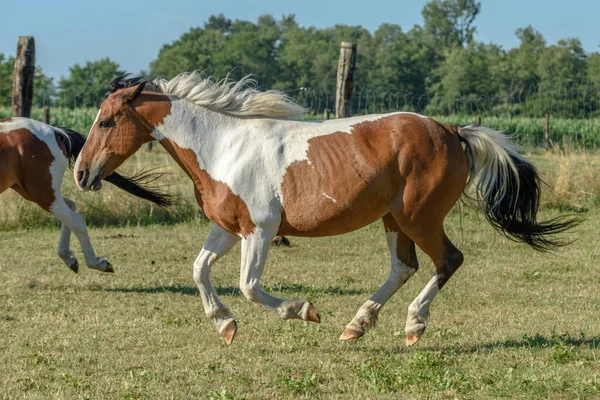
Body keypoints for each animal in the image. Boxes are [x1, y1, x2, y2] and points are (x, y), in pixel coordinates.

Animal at [0, 117, 171, 274]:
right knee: (71, 207)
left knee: (76, 219)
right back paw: (70, 259)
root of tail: (53, 130)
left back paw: (97, 263)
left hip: (41, 192)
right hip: (35, 191)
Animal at [74, 72, 576, 346]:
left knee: (447, 260)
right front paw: (225, 326)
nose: (80, 174)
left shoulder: (260, 229)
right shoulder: (229, 227)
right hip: (394, 219)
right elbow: (200, 270)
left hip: (418, 216)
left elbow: (249, 286)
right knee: (404, 267)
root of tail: (453, 131)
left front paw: (304, 311)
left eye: (107, 121)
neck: (222, 147)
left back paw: (413, 325)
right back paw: (357, 326)